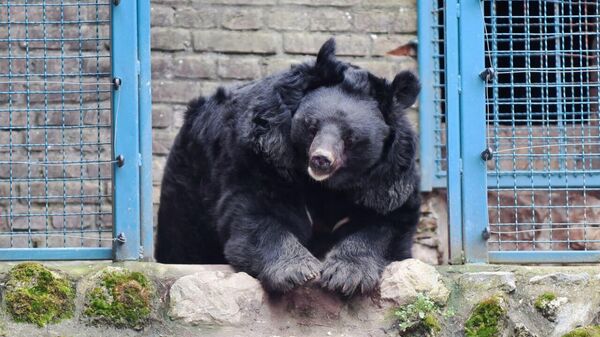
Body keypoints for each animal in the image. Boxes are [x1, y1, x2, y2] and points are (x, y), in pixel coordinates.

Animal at [155, 38, 420, 294]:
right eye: (312, 126)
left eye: (350, 138)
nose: (321, 159)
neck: (326, 186)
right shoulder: (261, 155)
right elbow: (256, 211)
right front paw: (298, 271)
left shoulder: (387, 181)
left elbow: (386, 223)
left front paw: (346, 276)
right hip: (189, 188)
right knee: (183, 238)